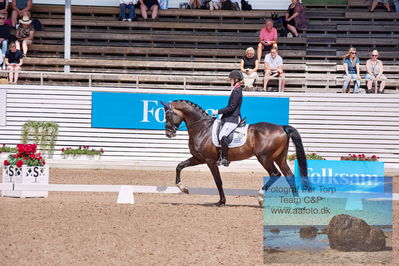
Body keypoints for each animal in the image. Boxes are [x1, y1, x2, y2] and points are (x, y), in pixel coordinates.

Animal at [162, 100, 310, 206]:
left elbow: (218, 181)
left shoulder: (210, 161)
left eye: (168, 114)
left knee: (275, 174)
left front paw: (221, 202)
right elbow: (179, 166)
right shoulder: (198, 158)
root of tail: (281, 127)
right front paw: (183, 188)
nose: (168, 133)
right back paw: (296, 203)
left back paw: (261, 198)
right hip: (279, 158)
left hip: (264, 158)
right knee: (289, 175)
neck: (202, 128)